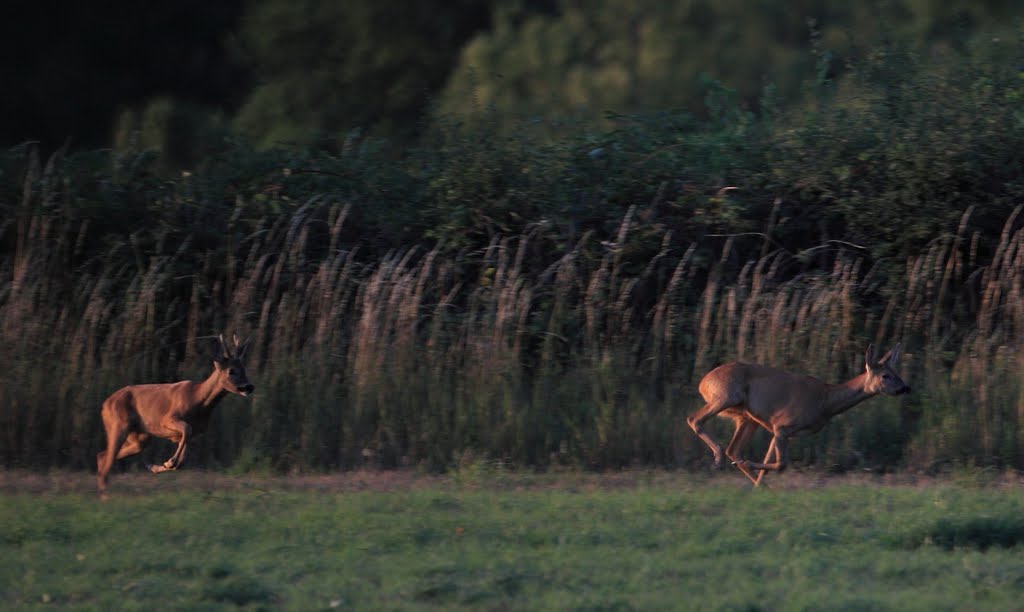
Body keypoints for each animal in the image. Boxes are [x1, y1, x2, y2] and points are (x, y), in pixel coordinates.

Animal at [95, 335, 253, 499]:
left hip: (140, 436)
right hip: (118, 424)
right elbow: (186, 430)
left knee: (102, 455)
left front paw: (160, 466)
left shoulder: (192, 433)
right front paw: (169, 462)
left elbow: (181, 461)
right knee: (107, 457)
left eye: (244, 369)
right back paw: (105, 496)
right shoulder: (168, 418)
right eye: (231, 371)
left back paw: (104, 493)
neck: (198, 400)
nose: (249, 386)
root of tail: (105, 404)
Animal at [688, 345, 913, 489]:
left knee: (734, 449)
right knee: (695, 419)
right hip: (727, 395)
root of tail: (703, 382)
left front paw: (759, 485)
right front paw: (755, 474)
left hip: (746, 417)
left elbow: (771, 462)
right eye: (885, 376)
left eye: (896, 372)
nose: (905, 387)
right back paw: (719, 459)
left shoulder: (777, 429)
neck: (824, 402)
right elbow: (781, 464)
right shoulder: (783, 425)